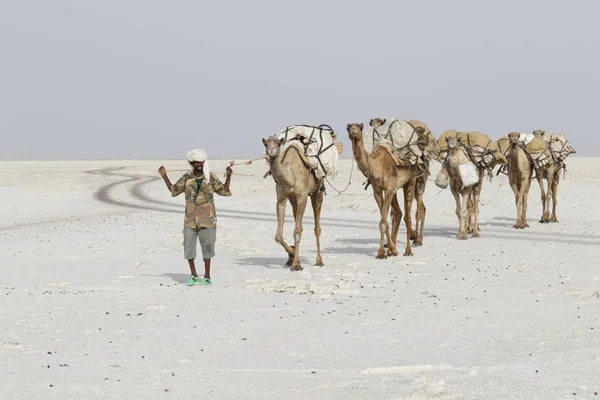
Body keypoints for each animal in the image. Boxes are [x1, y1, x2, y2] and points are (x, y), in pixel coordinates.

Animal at [262, 136, 324, 270]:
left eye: (278, 143)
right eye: (266, 144)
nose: (271, 151)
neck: (290, 177)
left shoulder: (302, 197)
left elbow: (297, 231)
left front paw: (296, 264)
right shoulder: (282, 198)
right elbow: (278, 236)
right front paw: (292, 254)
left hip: (317, 191)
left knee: (316, 226)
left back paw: (319, 261)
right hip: (293, 200)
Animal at [346, 122, 418, 258]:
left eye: (359, 127)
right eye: (348, 127)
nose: (353, 131)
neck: (376, 165)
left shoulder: (389, 189)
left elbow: (384, 222)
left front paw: (383, 252)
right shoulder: (378, 191)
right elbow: (382, 222)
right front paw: (388, 250)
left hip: (410, 181)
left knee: (408, 217)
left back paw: (408, 251)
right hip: (395, 189)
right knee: (398, 213)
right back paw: (392, 249)